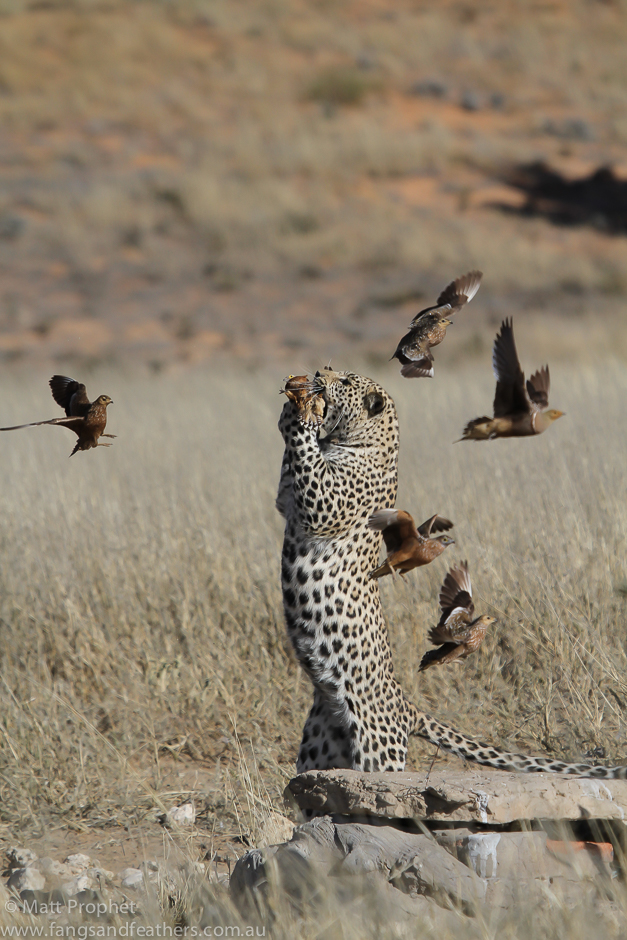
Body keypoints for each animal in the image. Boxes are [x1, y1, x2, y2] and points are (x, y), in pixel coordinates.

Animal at [277, 367, 627, 779]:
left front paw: (303, 414)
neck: (361, 442)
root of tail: (405, 706)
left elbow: (310, 468)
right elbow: (289, 475)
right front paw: (294, 405)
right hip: (320, 744)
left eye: (346, 381)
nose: (319, 372)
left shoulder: (324, 505)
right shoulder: (289, 501)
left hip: (377, 746)